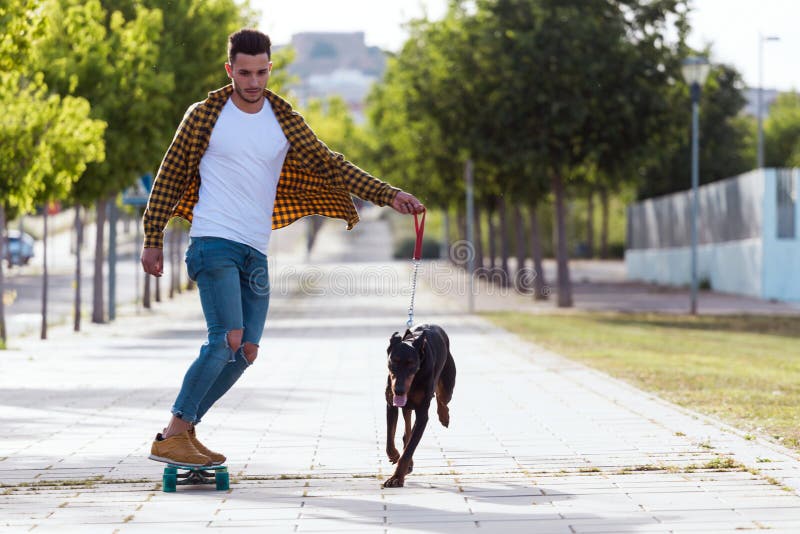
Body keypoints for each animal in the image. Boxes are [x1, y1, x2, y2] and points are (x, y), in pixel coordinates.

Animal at [382, 322, 454, 490]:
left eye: (411, 364)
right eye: (393, 361)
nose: (399, 390)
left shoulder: (422, 415)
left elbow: (410, 448)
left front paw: (396, 478)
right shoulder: (390, 404)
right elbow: (390, 438)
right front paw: (395, 455)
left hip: (447, 382)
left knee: (442, 398)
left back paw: (444, 416)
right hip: (406, 404)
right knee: (407, 428)